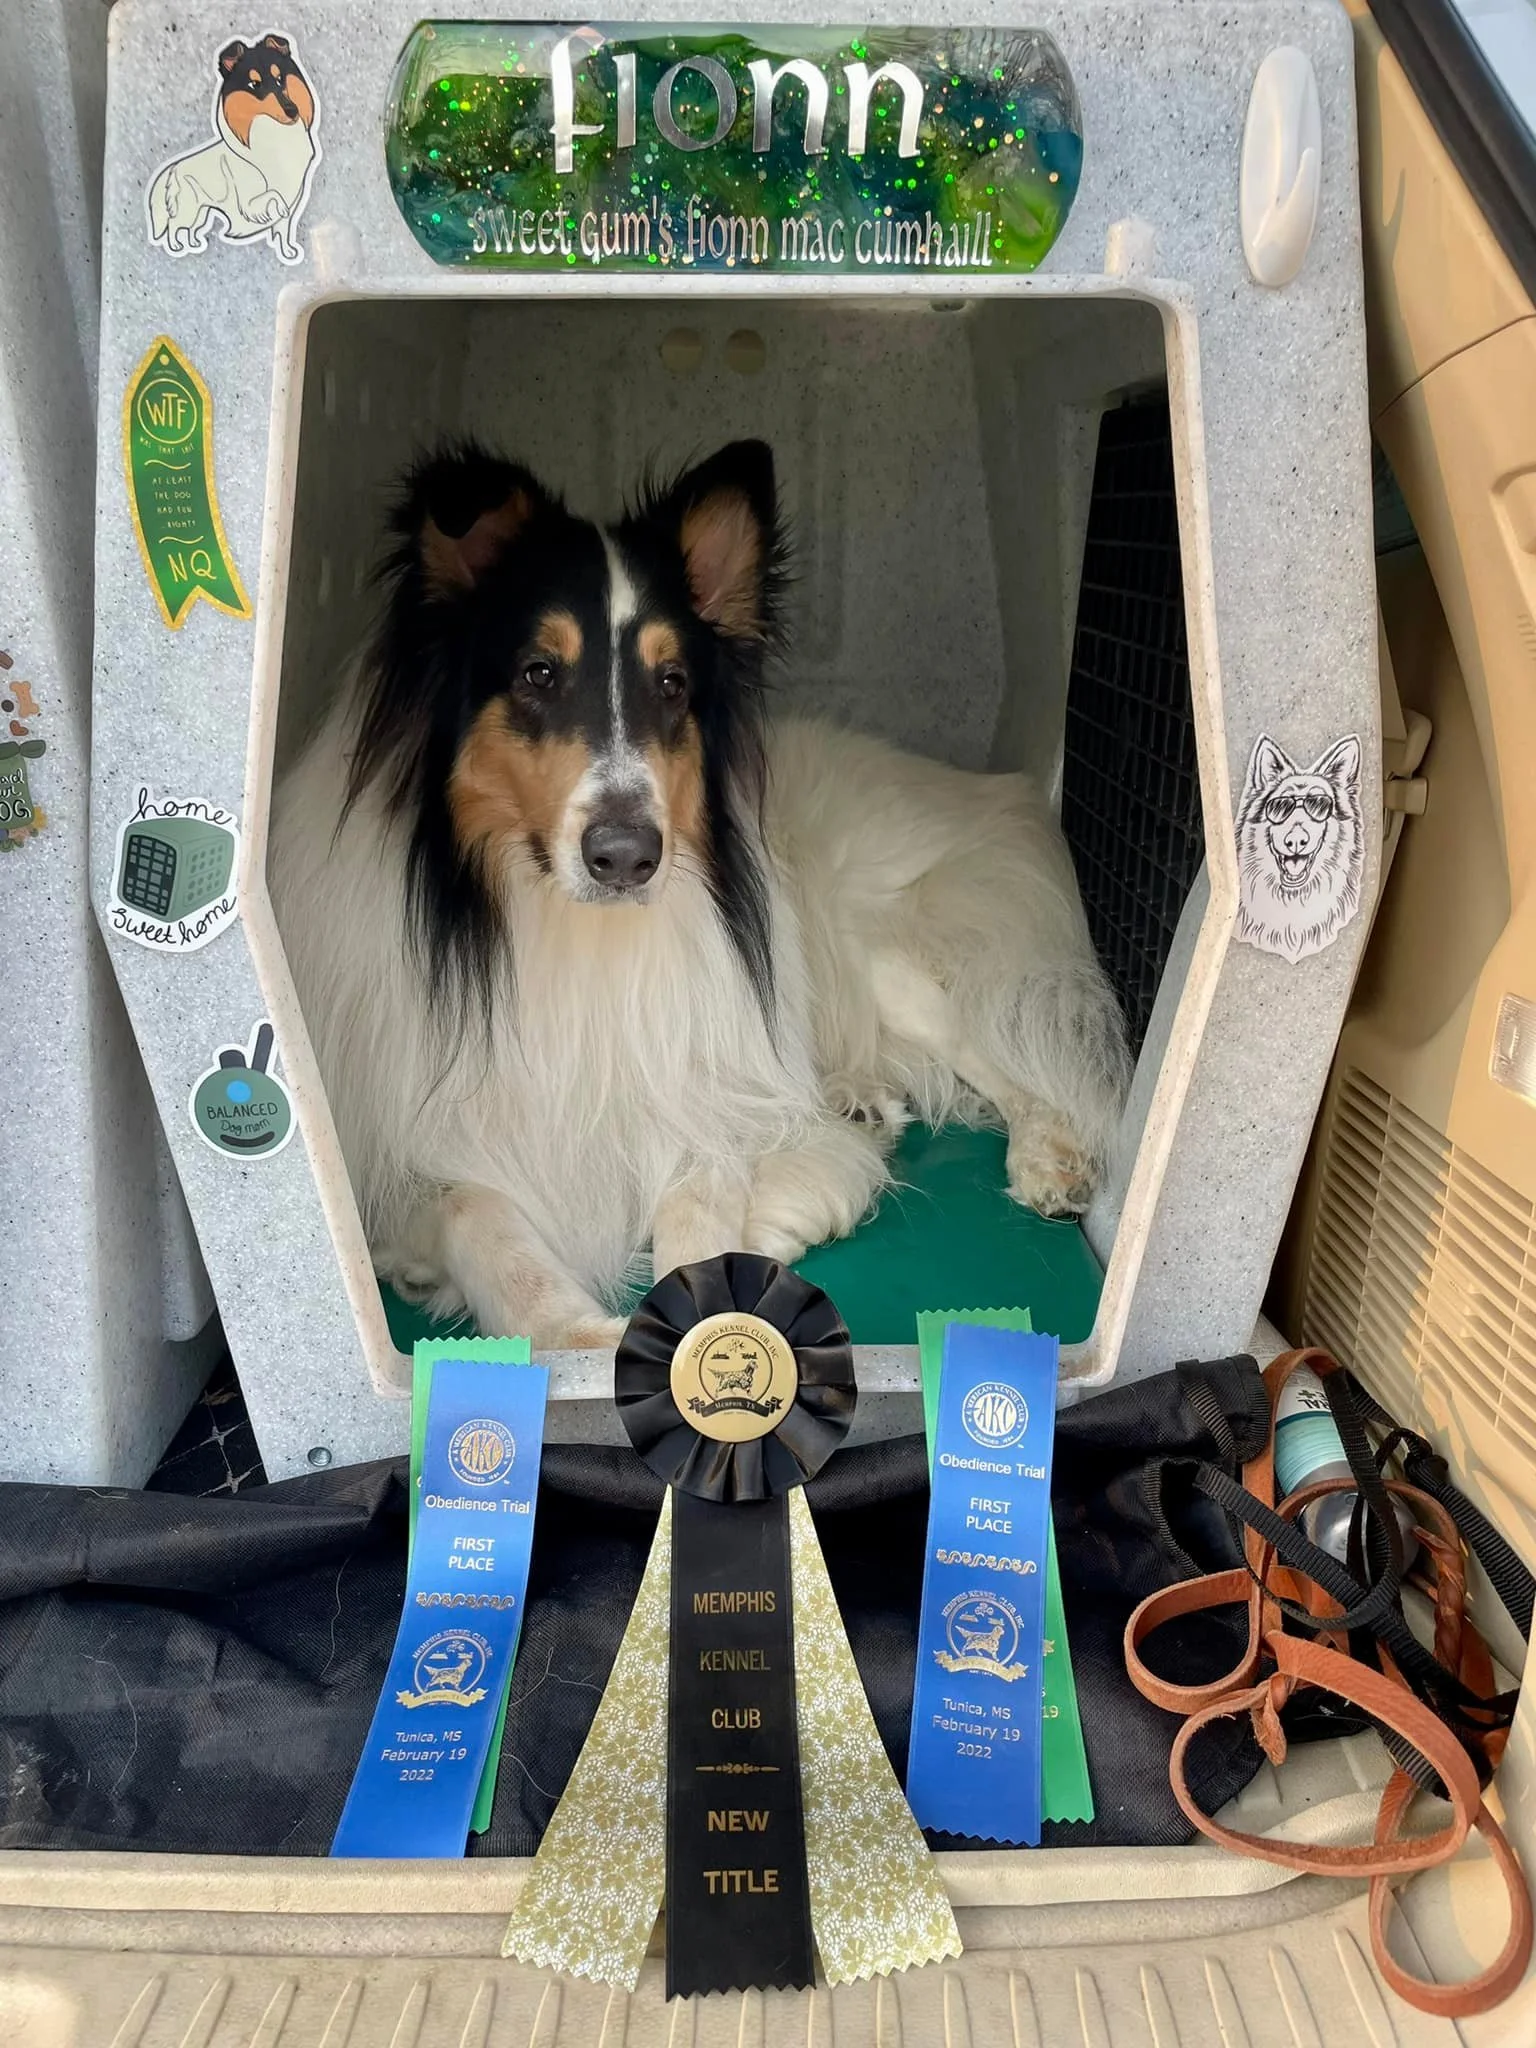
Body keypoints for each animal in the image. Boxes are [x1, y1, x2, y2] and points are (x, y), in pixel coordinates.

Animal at [146, 34, 319, 264]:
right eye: (255, 84)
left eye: (280, 78)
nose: (292, 111)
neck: (273, 138)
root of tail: (173, 169)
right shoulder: (248, 203)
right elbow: (273, 196)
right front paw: (279, 209)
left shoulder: (293, 201)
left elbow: (282, 232)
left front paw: (288, 253)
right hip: (189, 209)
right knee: (174, 225)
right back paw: (175, 246)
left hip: (202, 212)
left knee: (190, 229)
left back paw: (194, 243)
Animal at [269, 441, 1130, 1348]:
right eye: (539, 673)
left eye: (674, 682)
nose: (627, 858)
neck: (561, 928)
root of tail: (985, 794)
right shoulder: (402, 1151)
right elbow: (480, 1215)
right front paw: (576, 1333)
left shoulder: (700, 1093)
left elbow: (701, 1208)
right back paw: (859, 1100)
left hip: (886, 955)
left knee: (1008, 1050)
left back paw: (1048, 1154)